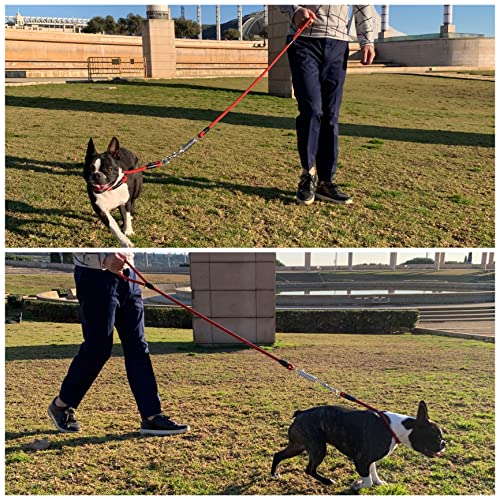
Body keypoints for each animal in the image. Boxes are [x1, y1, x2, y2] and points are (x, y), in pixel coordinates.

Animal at [274, 400, 446, 490]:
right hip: (318, 449)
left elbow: (373, 471)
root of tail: (301, 413)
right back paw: (327, 481)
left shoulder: (369, 459)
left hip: (298, 445)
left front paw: (378, 482)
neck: (397, 429)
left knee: (278, 455)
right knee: (310, 469)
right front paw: (358, 485)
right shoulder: (361, 460)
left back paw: (274, 473)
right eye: (436, 437)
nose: (444, 443)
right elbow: (367, 480)